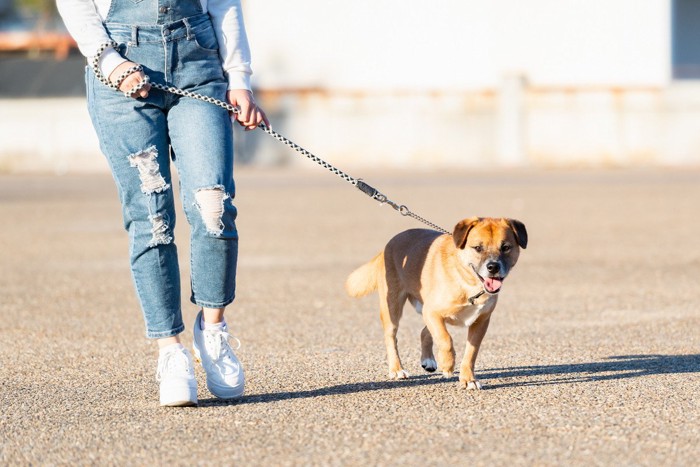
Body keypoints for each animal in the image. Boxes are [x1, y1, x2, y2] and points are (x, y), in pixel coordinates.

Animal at [344, 218, 524, 390]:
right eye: (478, 248)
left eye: (506, 247)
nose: (493, 267)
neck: (468, 283)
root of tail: (389, 244)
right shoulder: (432, 312)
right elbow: (446, 340)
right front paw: (447, 364)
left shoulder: (480, 322)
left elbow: (470, 353)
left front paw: (468, 380)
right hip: (393, 308)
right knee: (391, 337)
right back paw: (397, 369)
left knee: (425, 331)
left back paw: (428, 360)